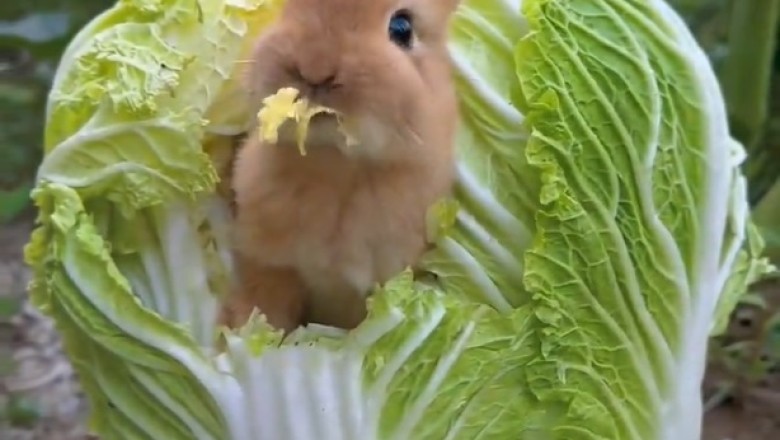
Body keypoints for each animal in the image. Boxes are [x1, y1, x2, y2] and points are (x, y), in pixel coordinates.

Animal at [218, 0, 462, 335]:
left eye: (402, 29)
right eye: (287, 8)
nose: (315, 68)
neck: (337, 166)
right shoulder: (268, 261)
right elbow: (265, 303)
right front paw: (242, 331)